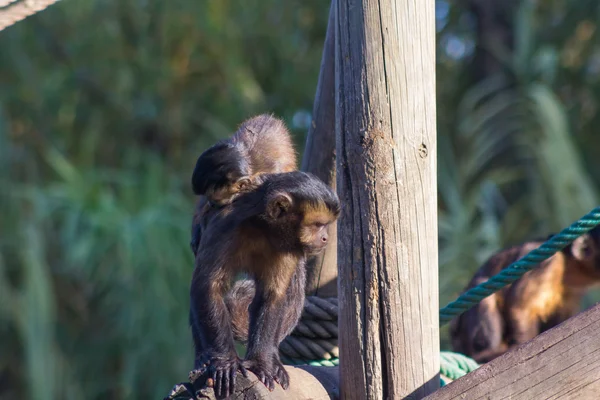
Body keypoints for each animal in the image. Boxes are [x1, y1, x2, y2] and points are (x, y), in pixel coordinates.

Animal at [188, 171, 340, 396]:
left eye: (325, 225)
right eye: (317, 225)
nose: (325, 238)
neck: (264, 228)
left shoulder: (289, 247)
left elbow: (273, 296)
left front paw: (262, 363)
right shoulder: (226, 226)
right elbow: (208, 287)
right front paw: (225, 362)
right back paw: (204, 360)